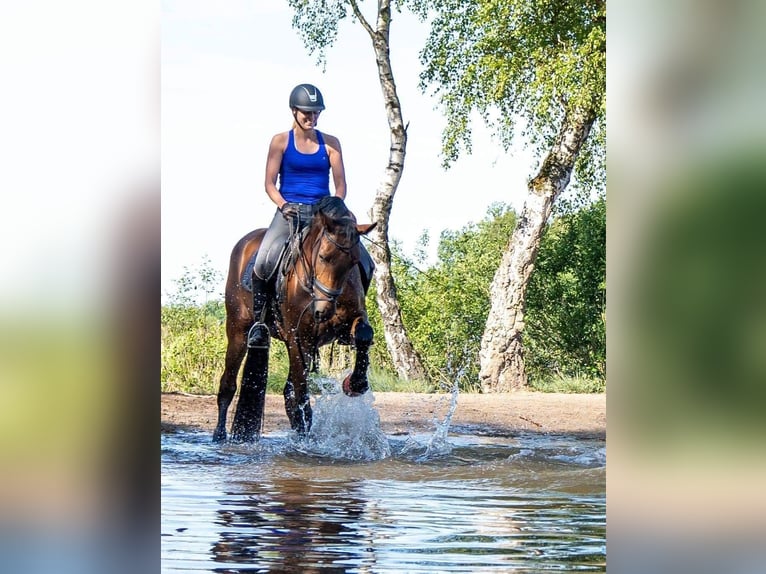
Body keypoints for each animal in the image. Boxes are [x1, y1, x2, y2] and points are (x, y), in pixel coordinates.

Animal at [213, 196, 377, 443]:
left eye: (354, 262)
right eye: (323, 257)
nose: (324, 311)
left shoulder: (347, 326)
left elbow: (364, 335)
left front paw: (355, 383)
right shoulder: (299, 338)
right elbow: (300, 390)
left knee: (287, 391)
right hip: (238, 332)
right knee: (229, 384)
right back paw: (219, 434)